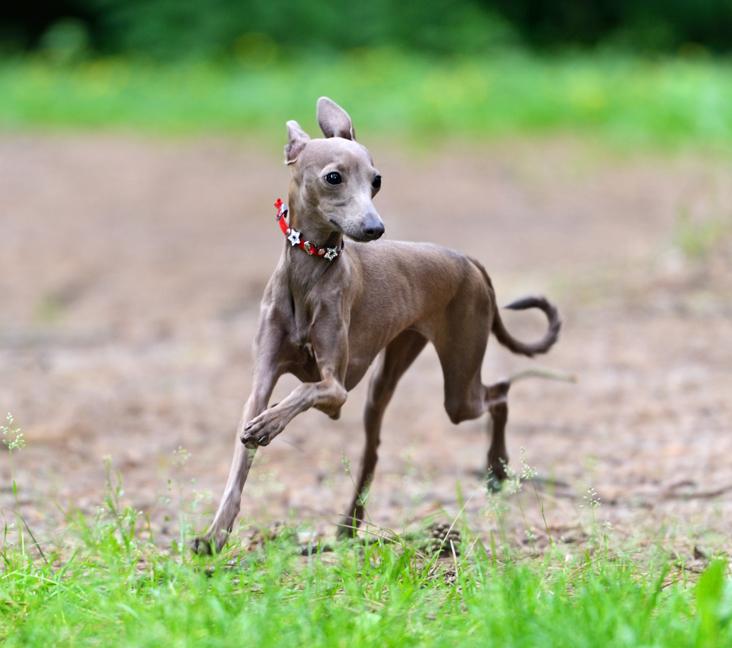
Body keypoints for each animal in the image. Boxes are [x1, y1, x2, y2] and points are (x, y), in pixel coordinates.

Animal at [190, 98, 560, 556]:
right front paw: (215, 534)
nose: (375, 229)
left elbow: (303, 392)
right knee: (375, 452)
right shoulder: (262, 382)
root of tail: (467, 259)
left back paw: (497, 468)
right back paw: (349, 525)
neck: (310, 271)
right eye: (333, 177)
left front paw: (271, 424)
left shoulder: (336, 389)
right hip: (385, 382)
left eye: (377, 180)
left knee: (500, 392)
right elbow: (240, 463)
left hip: (458, 382)